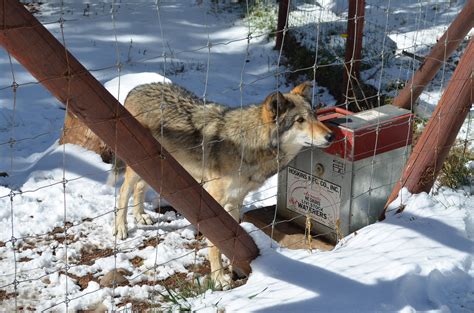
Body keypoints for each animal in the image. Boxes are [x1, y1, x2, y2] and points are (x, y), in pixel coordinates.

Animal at [114, 80, 334, 286]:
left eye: (314, 116)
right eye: (300, 120)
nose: (331, 136)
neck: (250, 146)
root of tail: (137, 88)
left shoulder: (235, 202)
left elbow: (233, 238)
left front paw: (237, 268)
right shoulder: (215, 201)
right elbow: (215, 244)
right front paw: (219, 278)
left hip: (153, 163)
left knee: (139, 188)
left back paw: (141, 216)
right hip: (137, 163)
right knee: (124, 191)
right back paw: (121, 228)